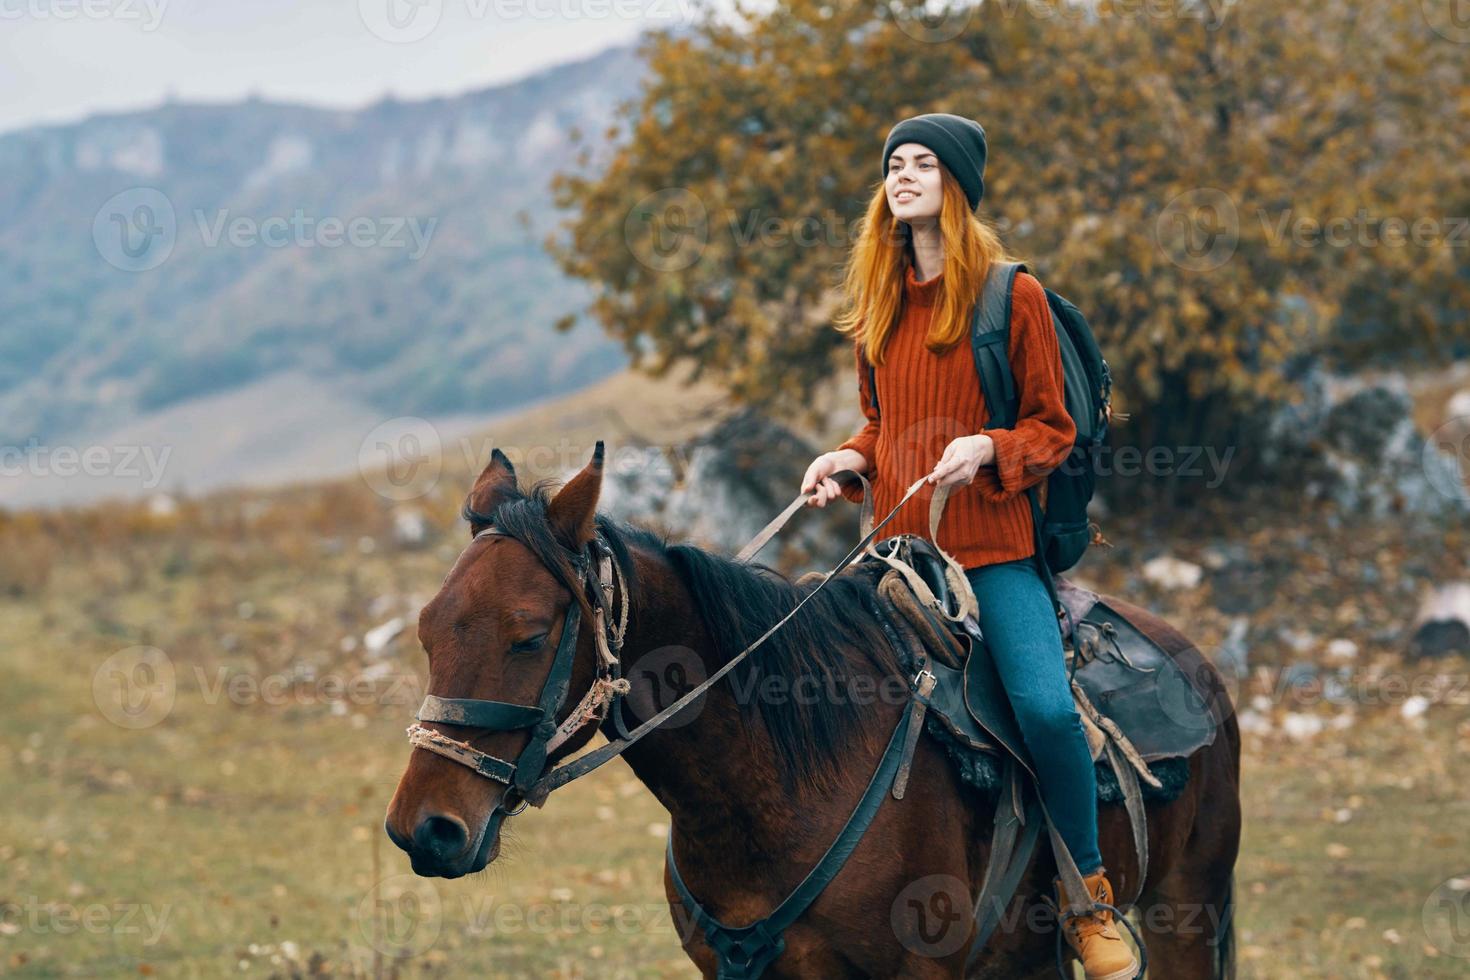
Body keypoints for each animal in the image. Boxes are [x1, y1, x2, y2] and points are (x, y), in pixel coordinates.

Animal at [385, 446, 1234, 980]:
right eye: (426, 629)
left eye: (529, 636)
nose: (424, 830)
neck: (773, 793)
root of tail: (1193, 660)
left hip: (1184, 911)